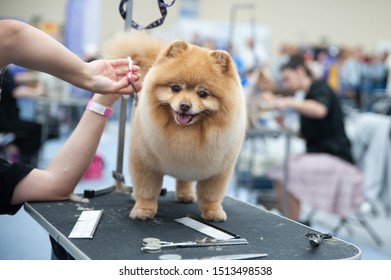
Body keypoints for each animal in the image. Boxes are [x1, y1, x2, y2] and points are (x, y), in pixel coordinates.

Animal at [102, 32, 247, 221]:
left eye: (203, 94)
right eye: (175, 88)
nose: (185, 105)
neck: (185, 133)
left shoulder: (219, 169)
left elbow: (211, 194)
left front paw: (213, 212)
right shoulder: (145, 160)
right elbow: (146, 188)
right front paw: (143, 210)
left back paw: (186, 195)